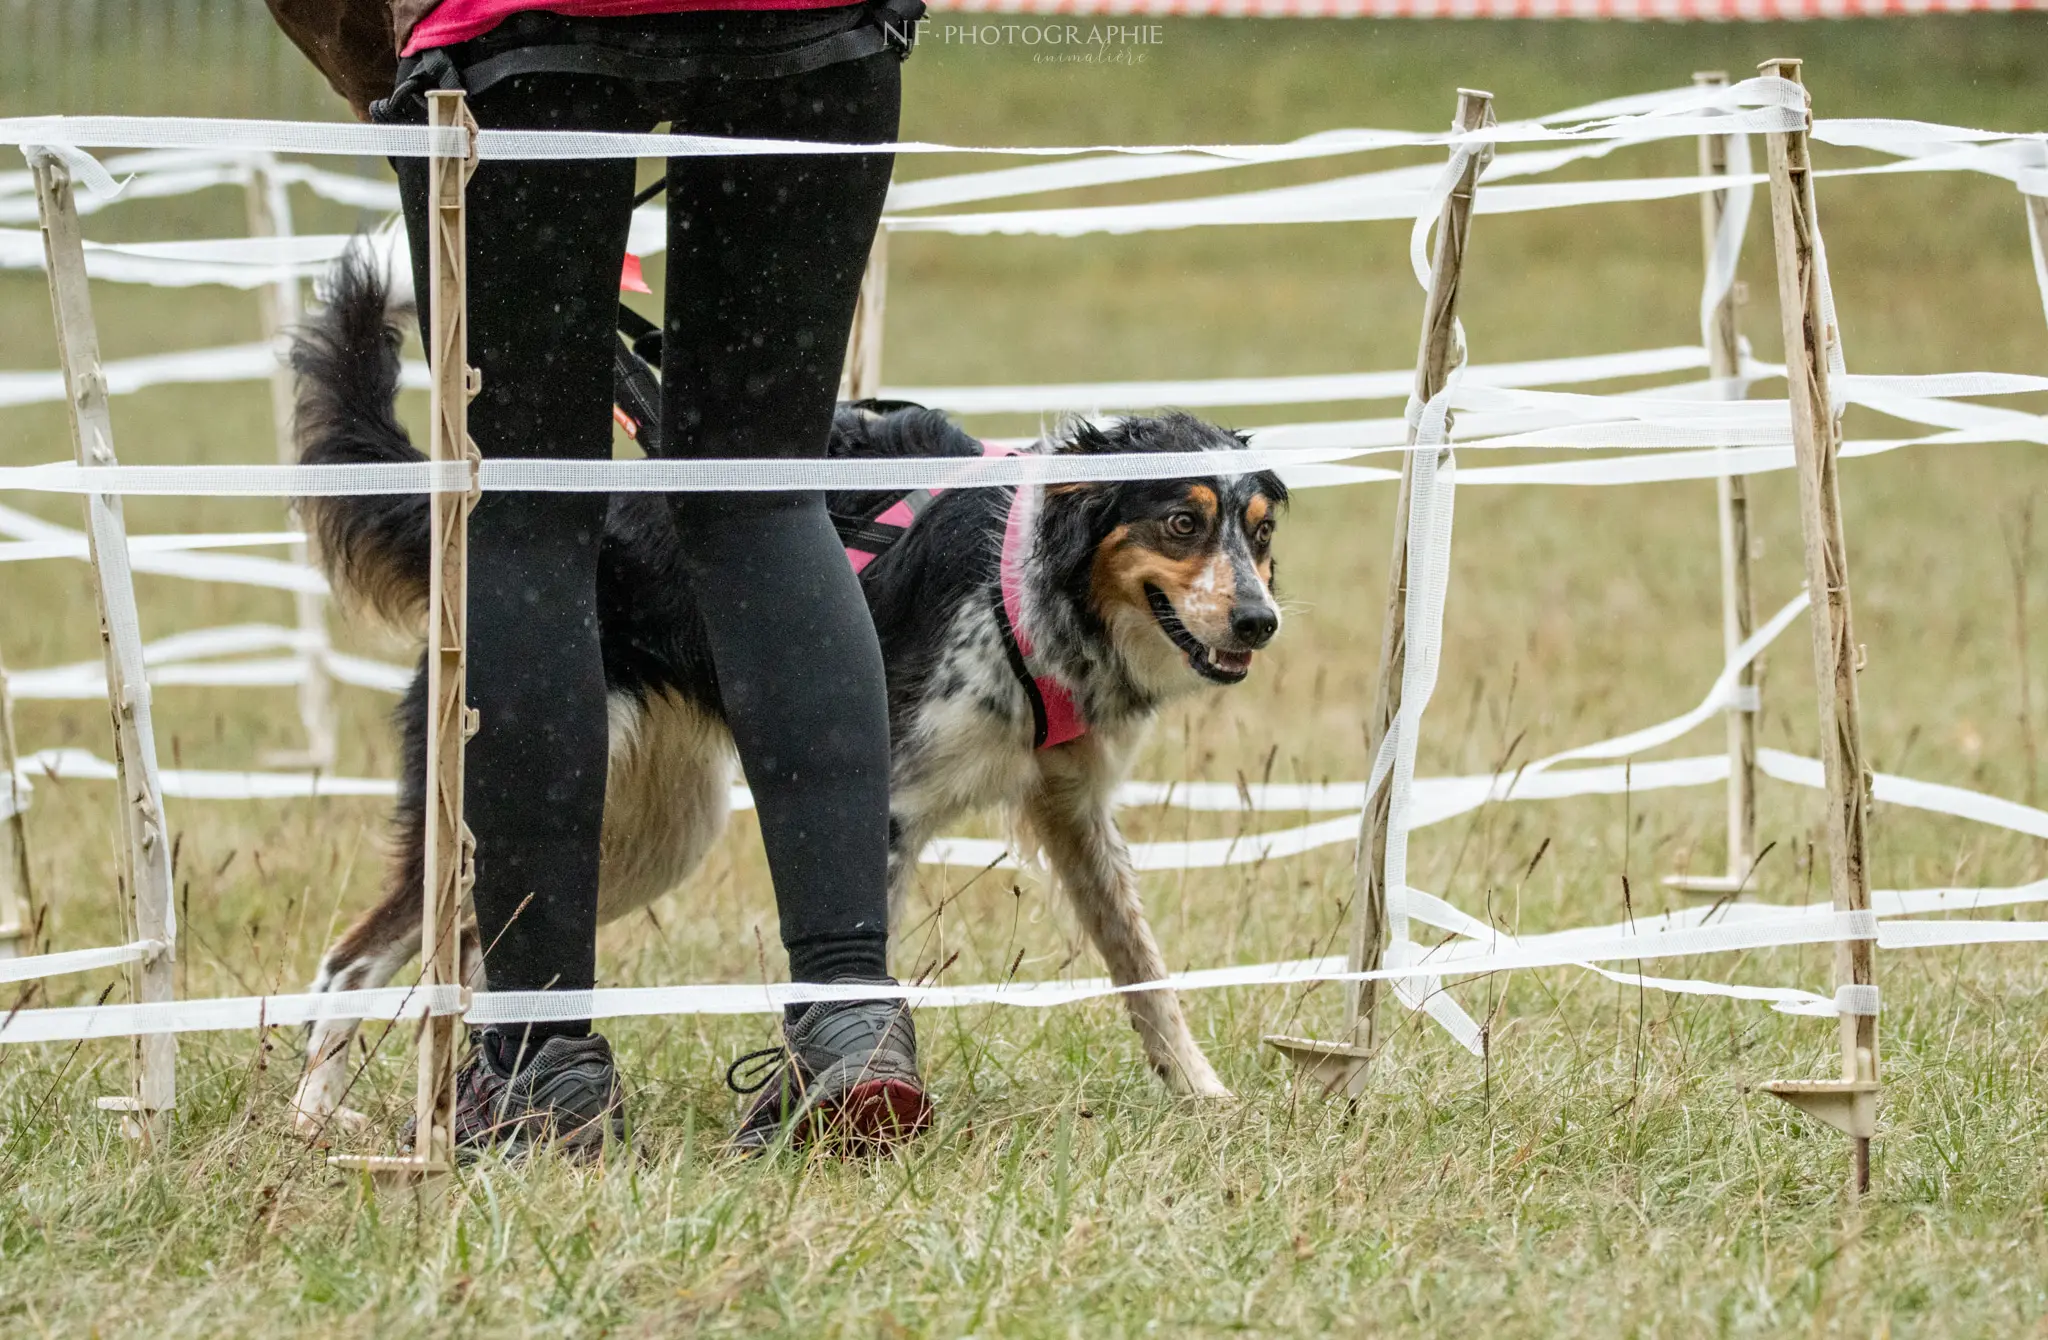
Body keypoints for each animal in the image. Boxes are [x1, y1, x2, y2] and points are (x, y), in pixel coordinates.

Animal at [292, 257, 1277, 1139]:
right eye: (1181, 523)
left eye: (1261, 535)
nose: (1261, 621)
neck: (1039, 585)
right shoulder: (891, 807)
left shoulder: (1075, 809)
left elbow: (1145, 971)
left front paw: (1204, 1093)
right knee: (350, 963)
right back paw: (316, 1117)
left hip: (647, 829)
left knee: (472, 953)